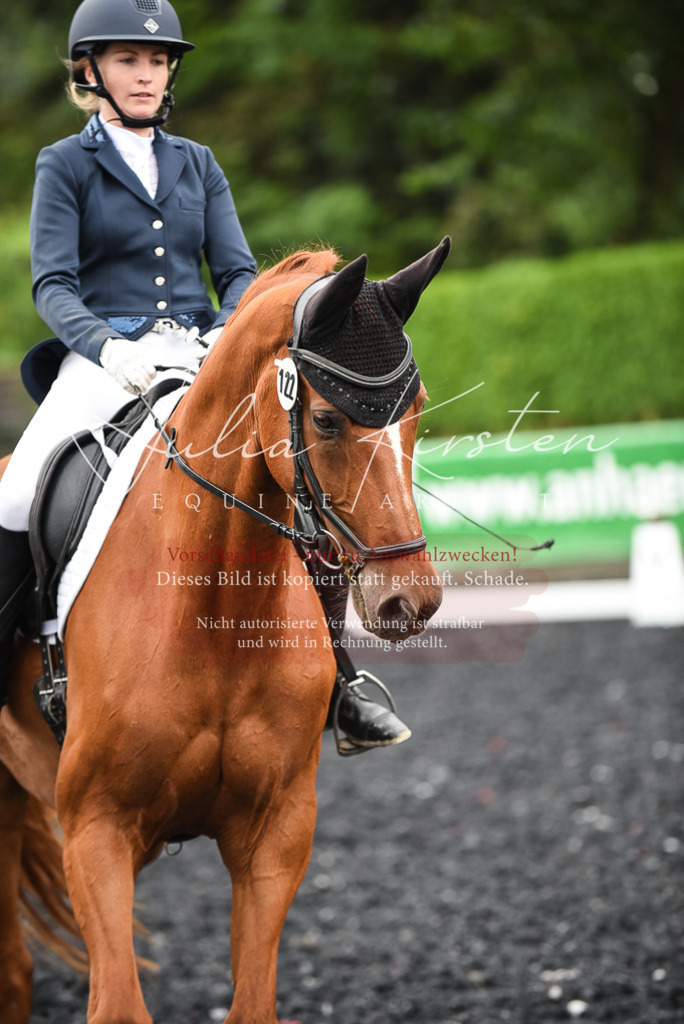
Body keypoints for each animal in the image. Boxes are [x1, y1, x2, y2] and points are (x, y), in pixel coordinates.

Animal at [0, 237, 450, 1024]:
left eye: (418, 409)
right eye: (326, 420)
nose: (410, 602)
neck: (213, 620)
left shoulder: (276, 834)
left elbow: (253, 1002)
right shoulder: (94, 832)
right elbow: (119, 1004)